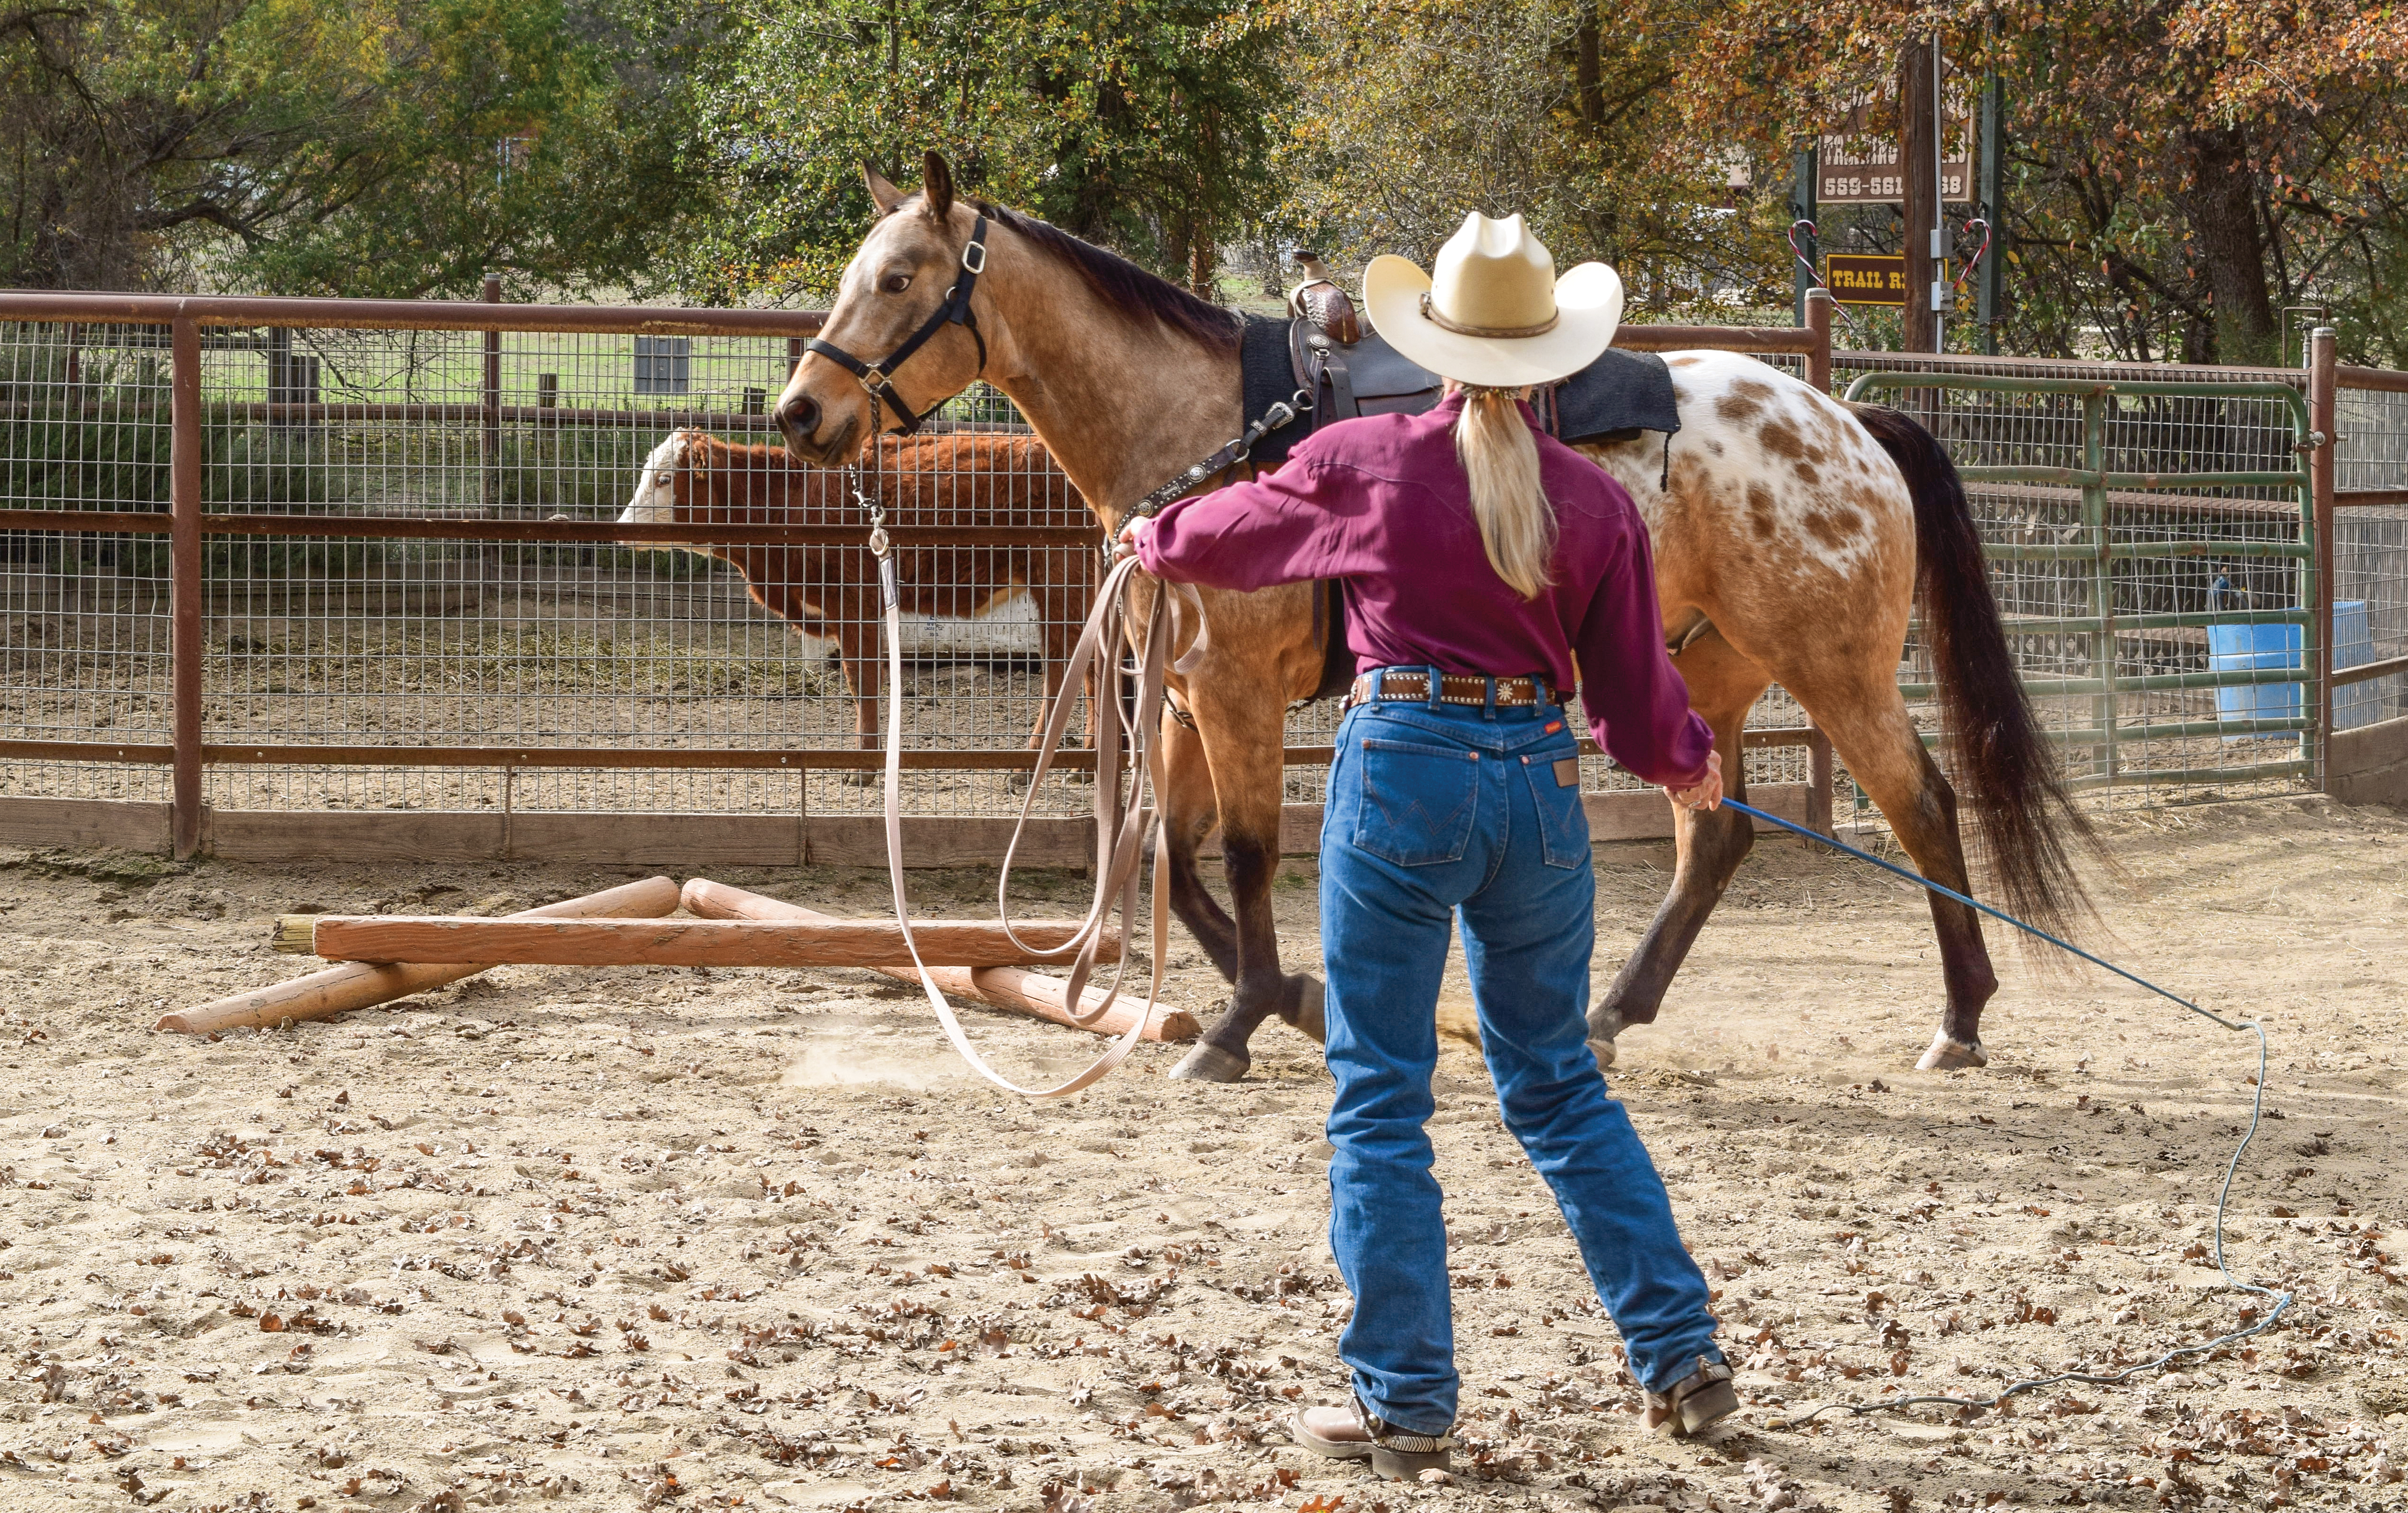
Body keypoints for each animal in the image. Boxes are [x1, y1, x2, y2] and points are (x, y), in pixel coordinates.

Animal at [626, 426, 1103, 756]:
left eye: (665, 479)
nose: (625, 526)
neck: (794, 498)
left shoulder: (853, 602)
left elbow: (862, 679)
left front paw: (865, 763)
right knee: (1094, 663)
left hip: (1060, 580)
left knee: (1062, 667)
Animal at [770, 150, 2090, 1074]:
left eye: (899, 278)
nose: (799, 413)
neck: (1210, 431)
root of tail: (1847, 422)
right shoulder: (1184, 701)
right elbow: (1174, 865)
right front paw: (1297, 1003)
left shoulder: (1239, 698)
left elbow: (1244, 858)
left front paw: (1239, 1025)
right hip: (1698, 673)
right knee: (1712, 836)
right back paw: (1609, 1013)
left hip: (1836, 667)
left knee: (1922, 807)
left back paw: (1957, 1021)